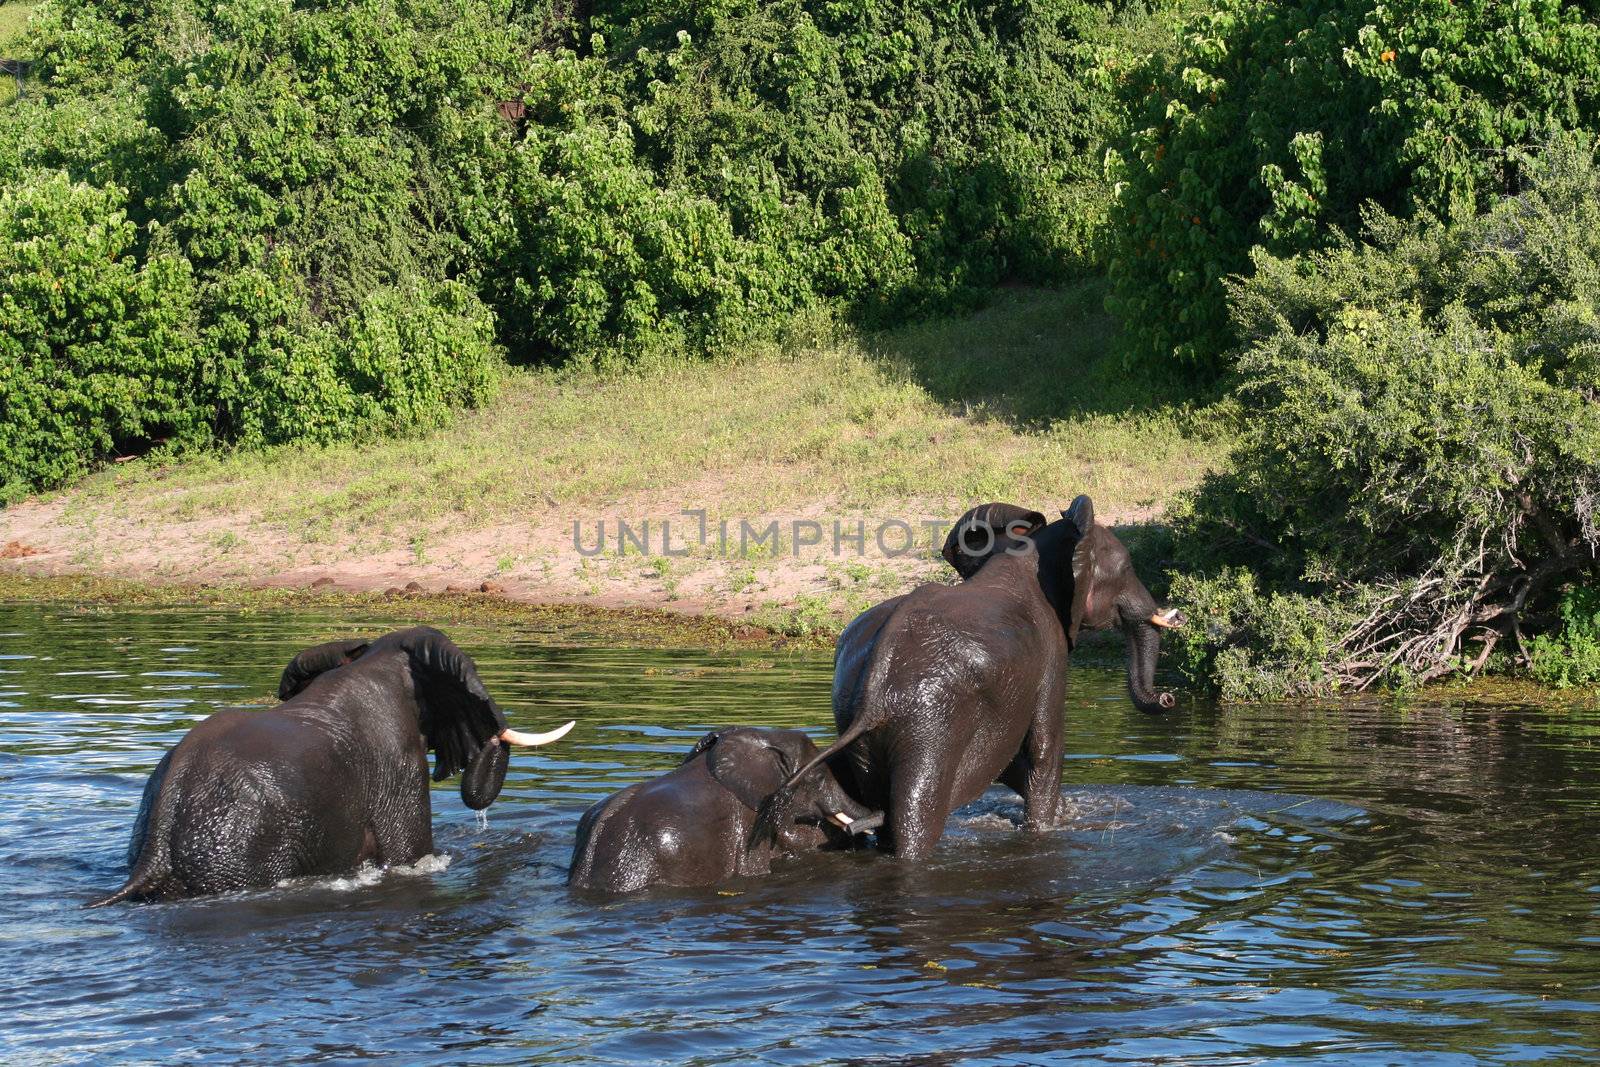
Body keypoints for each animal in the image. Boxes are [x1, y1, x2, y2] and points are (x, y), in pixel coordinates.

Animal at [755, 499, 1184, 857]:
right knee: (917, 813)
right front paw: (1044, 831)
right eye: (1127, 569)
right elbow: (1044, 748)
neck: (1029, 553)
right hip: (930, 722)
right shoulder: (1050, 652)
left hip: (860, 720)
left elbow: (1010, 760)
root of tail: (873, 696)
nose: (1168, 698)